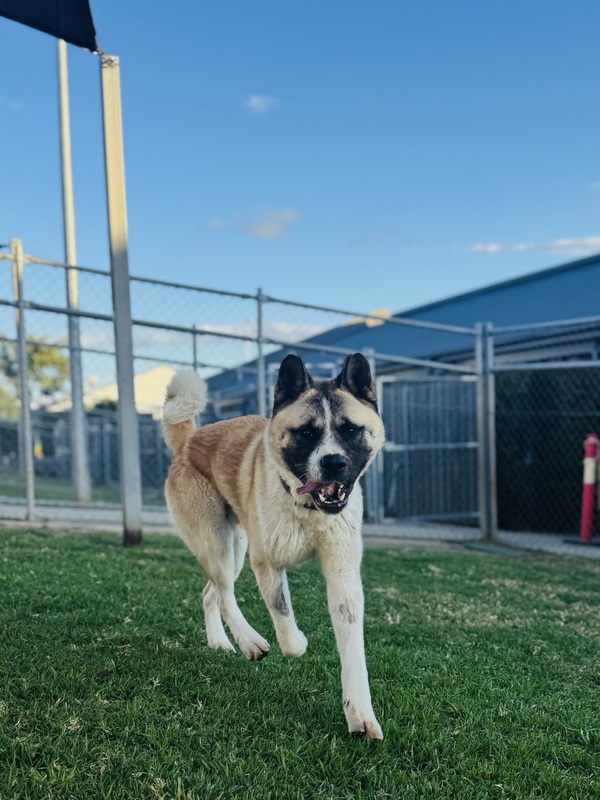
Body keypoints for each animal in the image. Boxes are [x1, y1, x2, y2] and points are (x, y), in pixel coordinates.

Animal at [162, 353, 385, 739]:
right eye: (307, 432)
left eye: (350, 429)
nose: (334, 462)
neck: (308, 509)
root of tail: (189, 440)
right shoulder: (266, 561)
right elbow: (288, 630)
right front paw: (297, 641)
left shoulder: (343, 575)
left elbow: (353, 647)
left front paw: (360, 714)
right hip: (218, 543)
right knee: (224, 592)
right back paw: (249, 642)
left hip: (234, 547)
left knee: (210, 593)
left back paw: (221, 642)